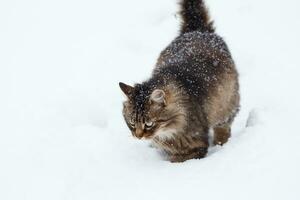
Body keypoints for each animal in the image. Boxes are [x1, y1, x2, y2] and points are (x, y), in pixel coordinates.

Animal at [119, 0, 239, 162]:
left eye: (149, 124)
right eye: (132, 122)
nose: (138, 136)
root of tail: (197, 30)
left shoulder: (194, 145)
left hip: (227, 105)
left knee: (223, 128)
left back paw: (221, 144)